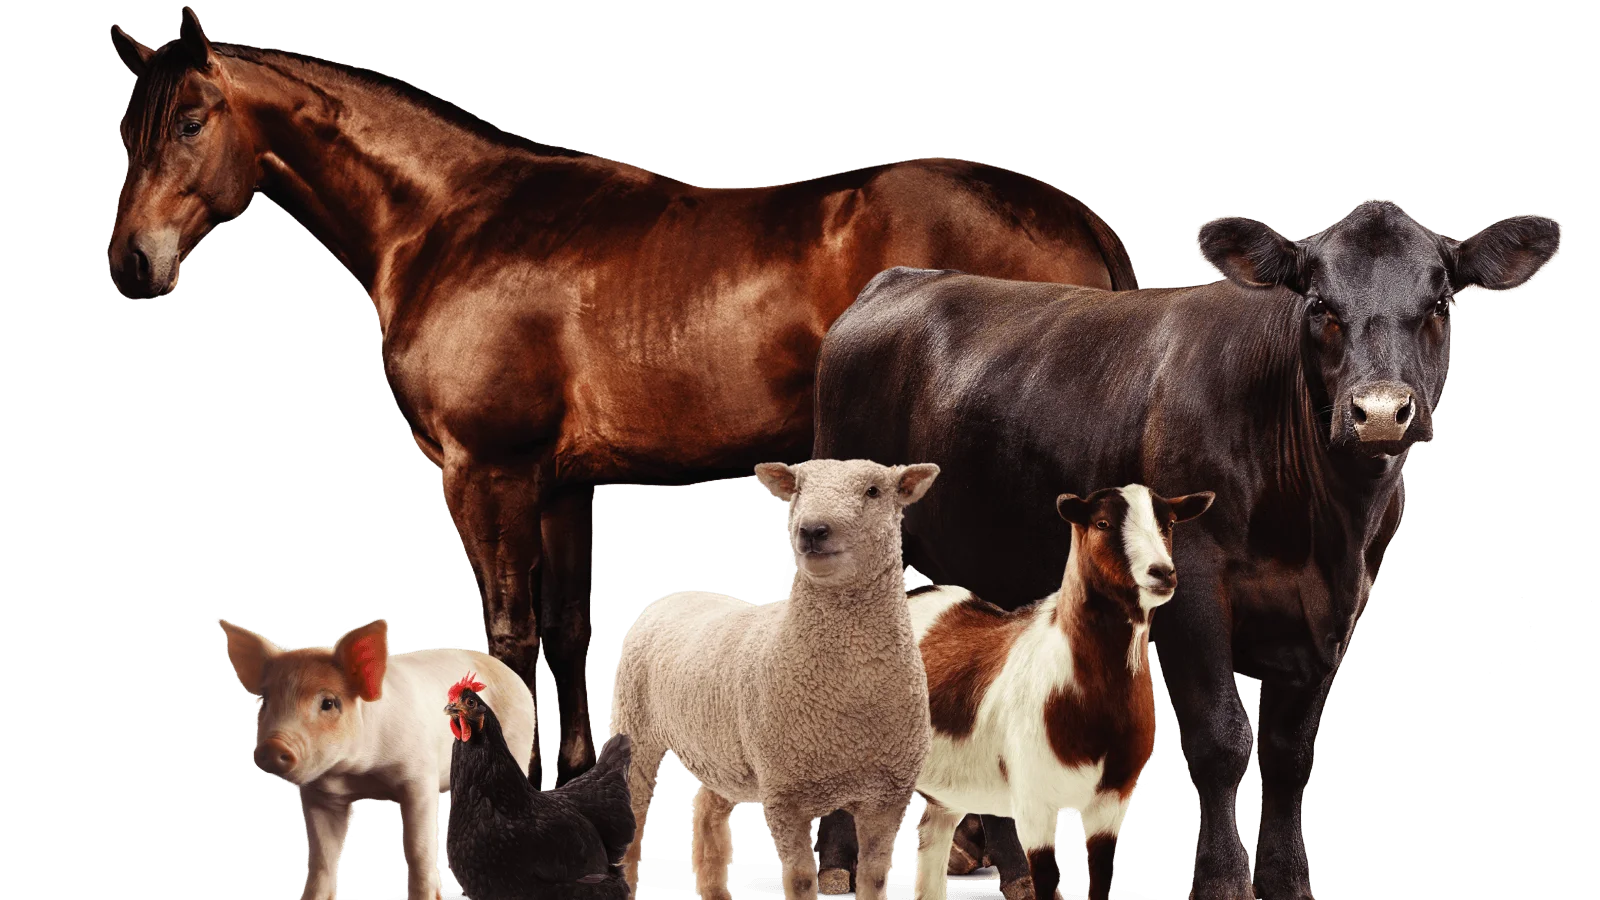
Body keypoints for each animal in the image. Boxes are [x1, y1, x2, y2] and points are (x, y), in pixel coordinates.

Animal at [217, 617, 537, 900]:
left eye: (328, 703)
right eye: (266, 701)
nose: (272, 746)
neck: (357, 774)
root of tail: (512, 675)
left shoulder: (420, 778)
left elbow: (418, 849)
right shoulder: (320, 794)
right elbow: (321, 858)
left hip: (518, 745)